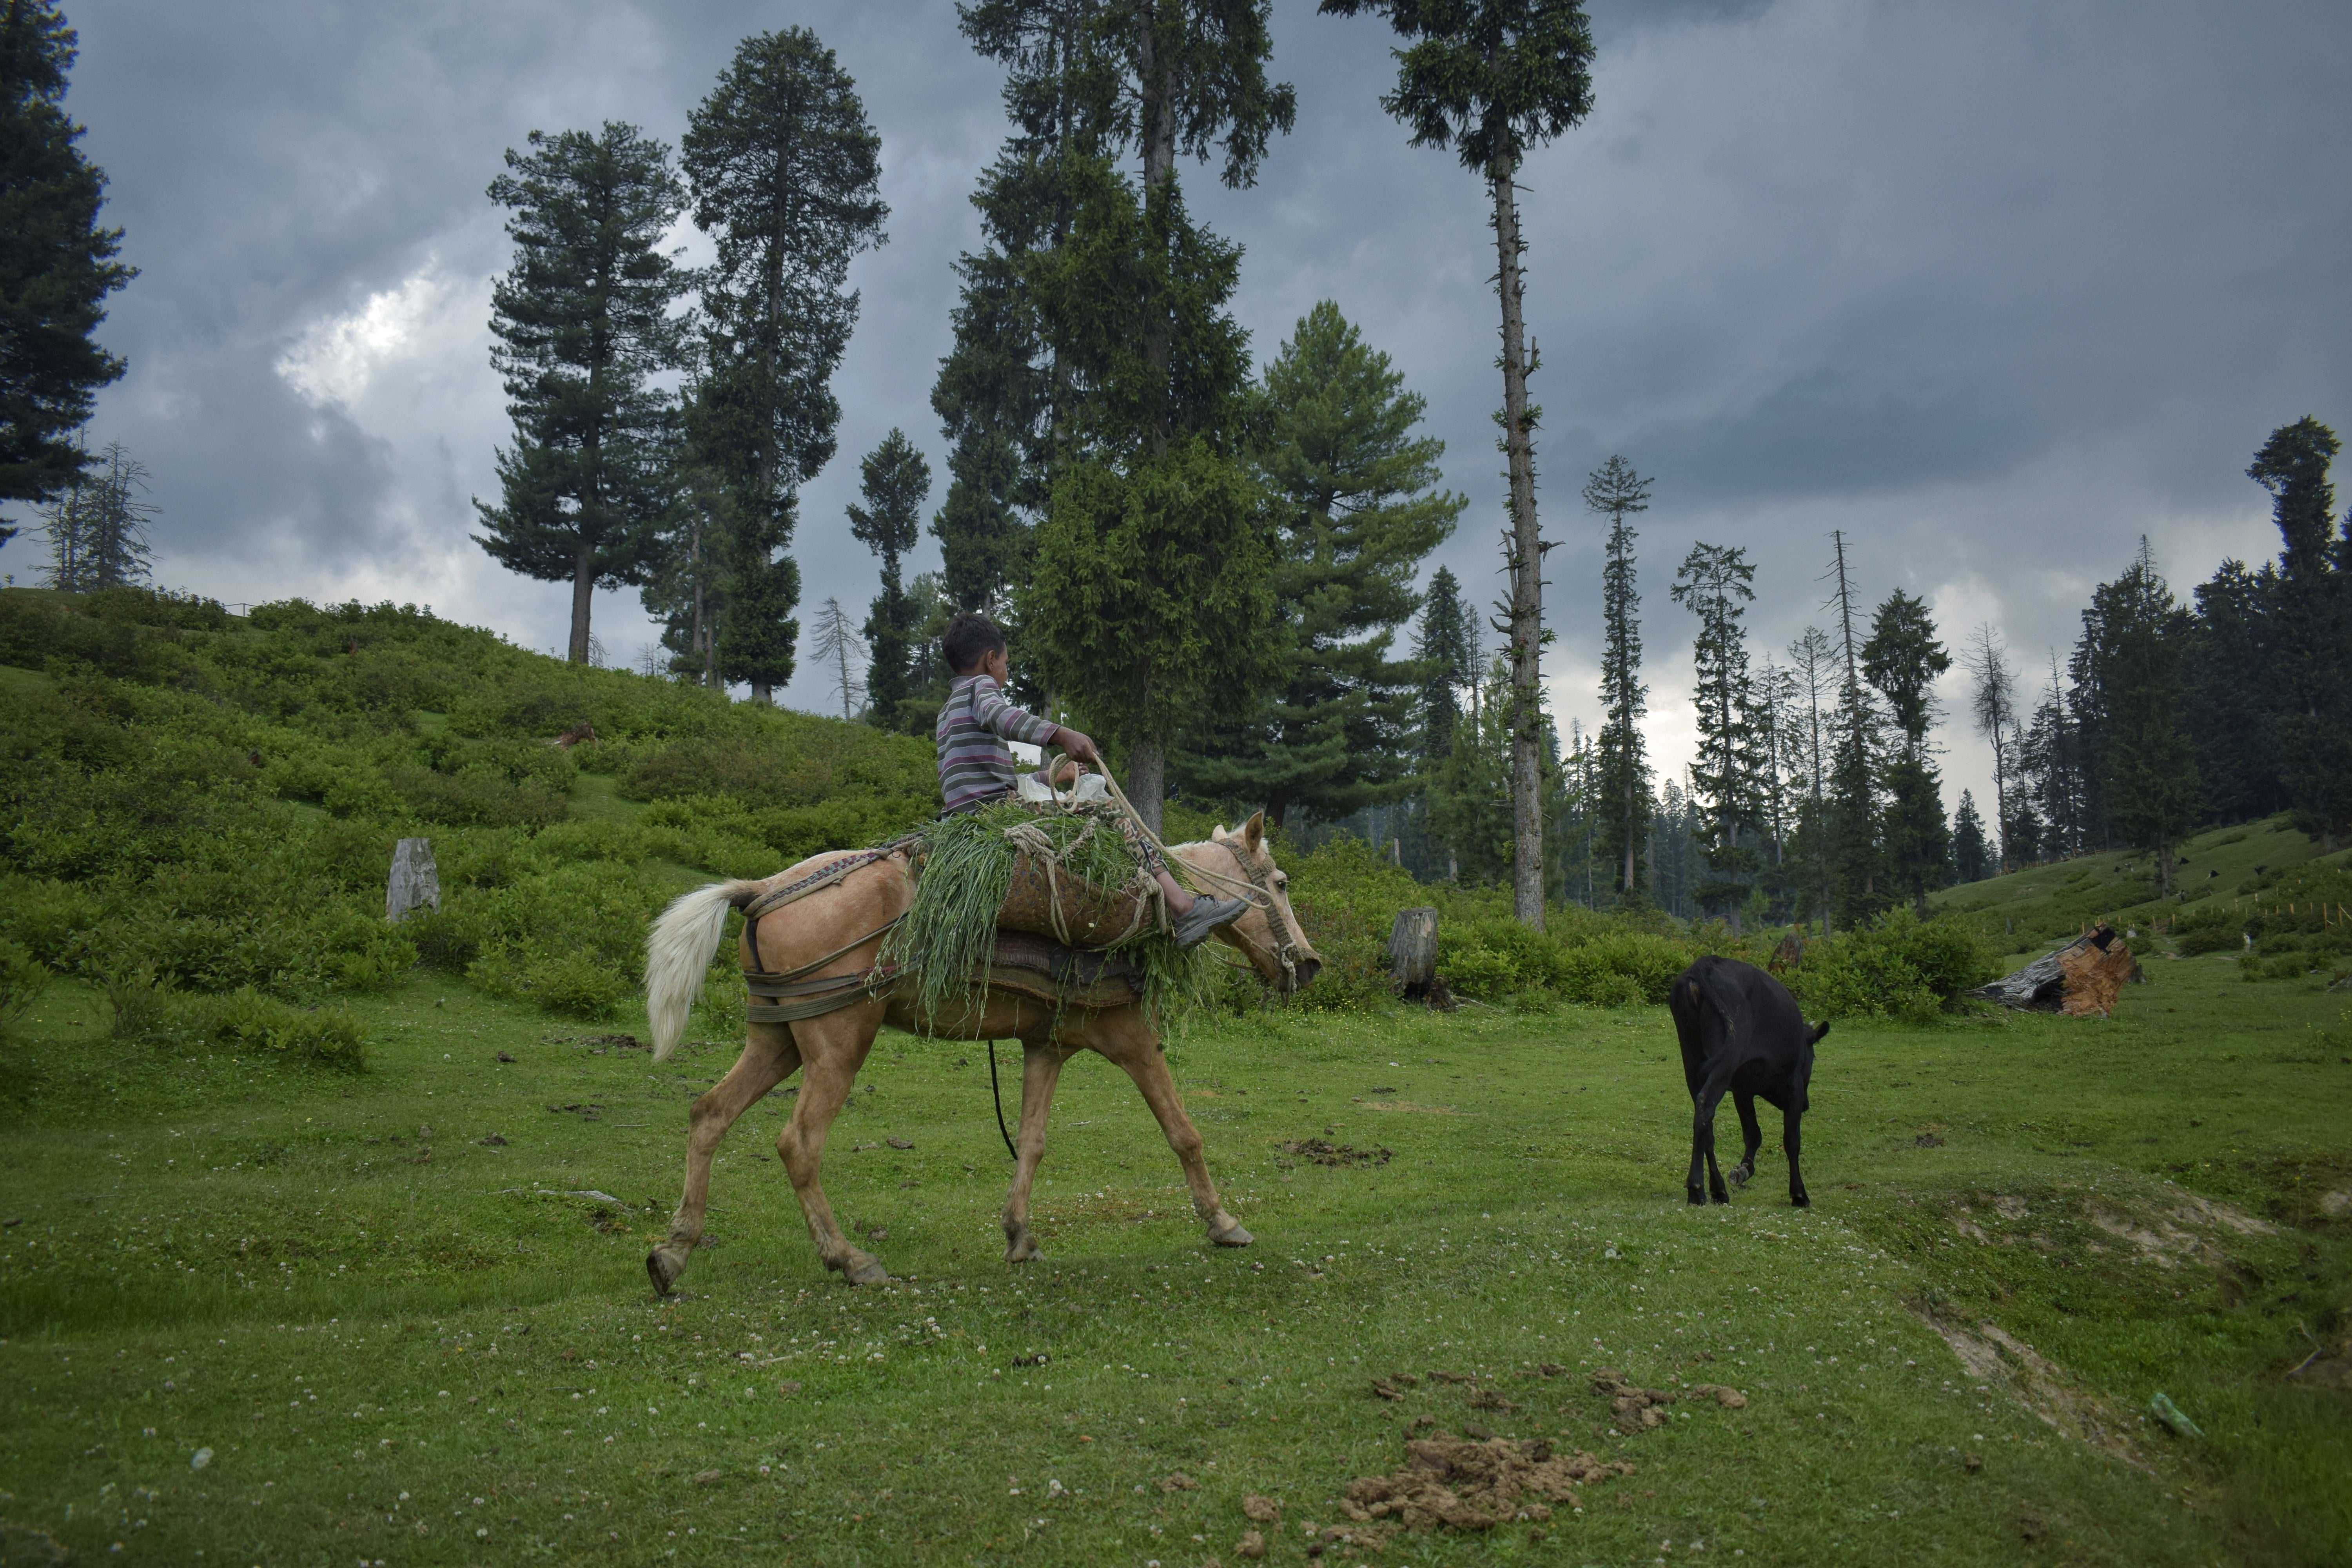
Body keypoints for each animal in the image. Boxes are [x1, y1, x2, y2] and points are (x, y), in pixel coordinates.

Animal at [640, 808, 1327, 1288]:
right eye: (1280, 882)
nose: (1311, 963)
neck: (1150, 913)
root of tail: (762, 889)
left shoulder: (1047, 1045)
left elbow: (1032, 1140)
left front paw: (1019, 1234)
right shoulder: (1131, 1038)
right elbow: (1183, 1132)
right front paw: (1223, 1223)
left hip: (778, 1039)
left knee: (709, 1115)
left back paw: (673, 1252)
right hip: (838, 1043)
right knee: (798, 1144)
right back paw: (850, 1259)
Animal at [1665, 949, 1825, 1213]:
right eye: (1813, 1058)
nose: (1807, 1105)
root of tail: (1705, 964)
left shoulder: (1742, 1090)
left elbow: (1753, 1134)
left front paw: (1743, 1170)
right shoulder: (1793, 1086)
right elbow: (1792, 1139)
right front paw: (1799, 1194)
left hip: (1692, 1057)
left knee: (1705, 1123)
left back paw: (1718, 1190)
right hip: (1727, 1056)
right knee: (1705, 1106)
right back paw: (1697, 1190)